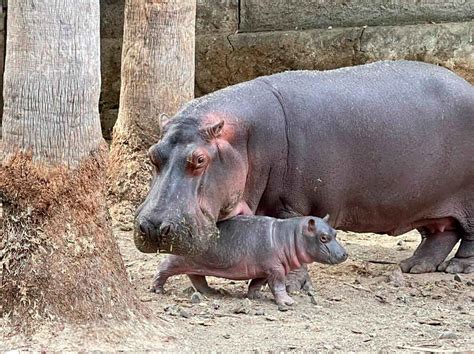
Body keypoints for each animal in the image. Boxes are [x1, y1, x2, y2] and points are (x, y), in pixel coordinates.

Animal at [152, 214, 348, 306]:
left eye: (335, 232)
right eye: (323, 237)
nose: (344, 254)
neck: (289, 236)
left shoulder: (265, 268)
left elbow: (257, 282)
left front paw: (256, 295)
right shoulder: (276, 269)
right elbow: (278, 285)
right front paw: (288, 302)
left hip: (196, 263)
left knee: (197, 278)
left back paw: (214, 292)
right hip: (178, 259)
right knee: (164, 268)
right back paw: (157, 290)